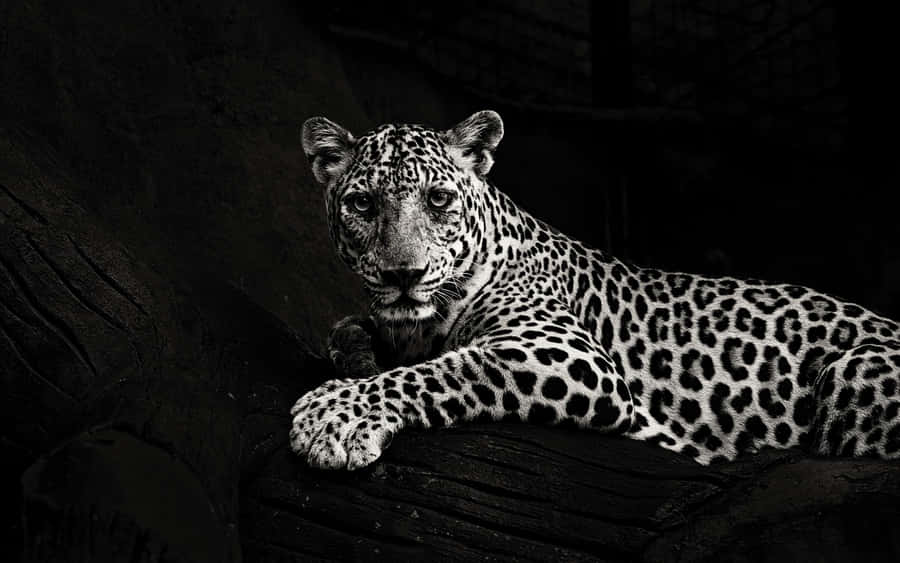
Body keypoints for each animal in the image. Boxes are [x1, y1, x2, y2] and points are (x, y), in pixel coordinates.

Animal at [290, 110, 900, 470]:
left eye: (438, 200)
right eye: (363, 204)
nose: (404, 274)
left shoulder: (564, 353)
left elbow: (449, 369)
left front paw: (333, 415)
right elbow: (349, 331)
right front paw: (357, 361)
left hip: (853, 372)